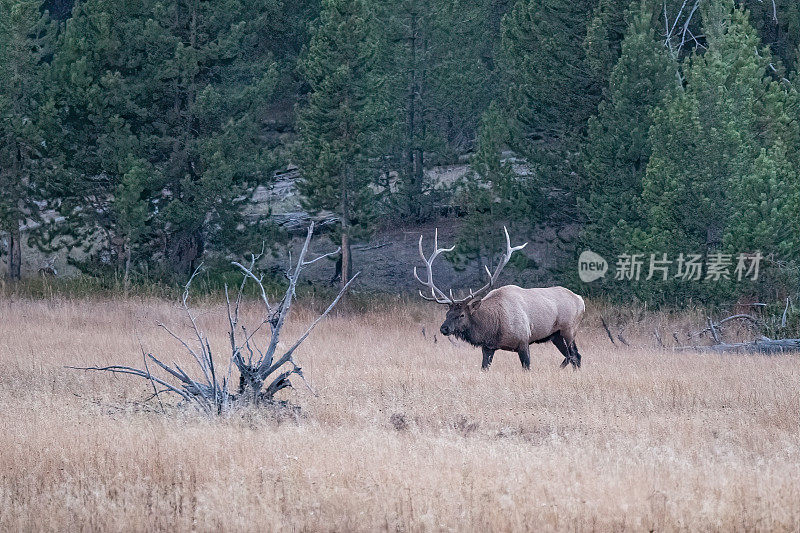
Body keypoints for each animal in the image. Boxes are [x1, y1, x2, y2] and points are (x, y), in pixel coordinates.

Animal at [416, 227, 584, 368]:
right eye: (447, 313)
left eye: (462, 314)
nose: (443, 328)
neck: (492, 327)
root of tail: (581, 300)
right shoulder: (488, 347)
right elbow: (484, 367)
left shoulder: (524, 341)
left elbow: (527, 366)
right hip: (555, 335)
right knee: (571, 356)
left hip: (569, 330)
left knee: (575, 355)